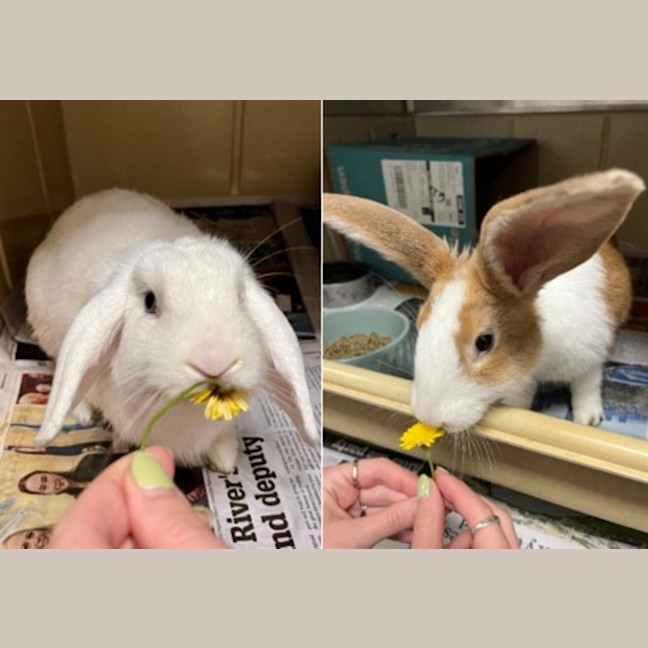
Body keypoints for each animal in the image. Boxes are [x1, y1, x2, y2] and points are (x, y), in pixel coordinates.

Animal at [323, 169, 645, 434]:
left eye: (484, 342)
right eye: (420, 323)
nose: (430, 417)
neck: (541, 351)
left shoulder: (590, 356)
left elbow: (587, 385)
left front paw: (587, 420)